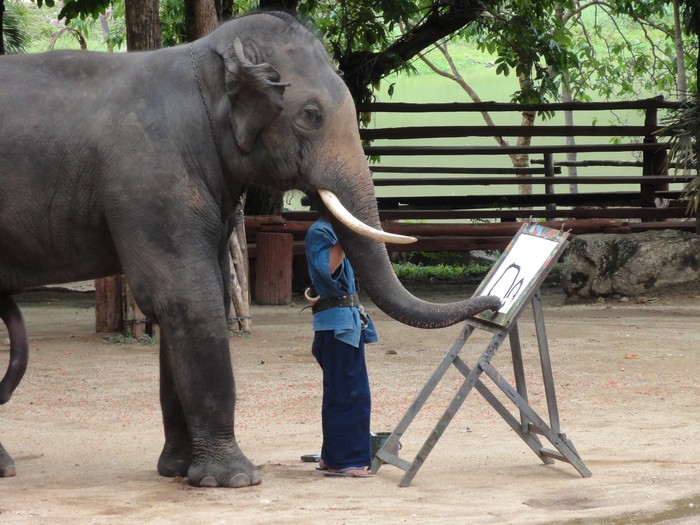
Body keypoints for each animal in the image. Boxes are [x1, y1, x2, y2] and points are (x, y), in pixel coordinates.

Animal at [1, 11, 504, 488]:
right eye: (310, 115)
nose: (497, 301)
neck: (202, 61)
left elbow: (206, 297)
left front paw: (180, 471)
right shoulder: (150, 180)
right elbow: (184, 296)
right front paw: (235, 479)